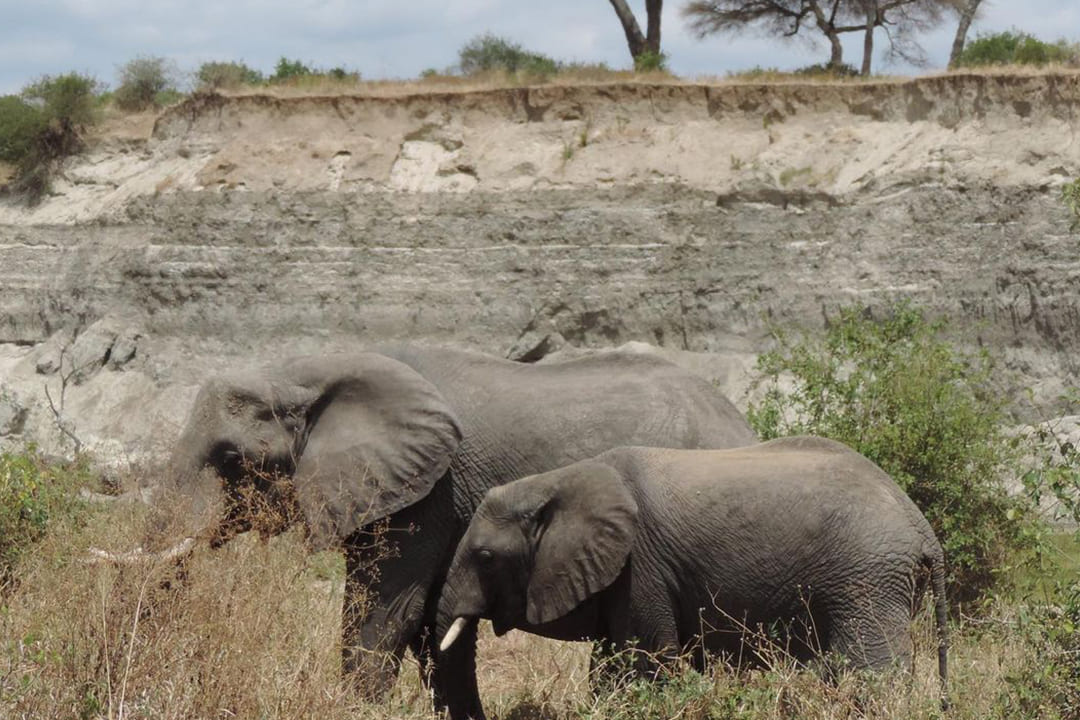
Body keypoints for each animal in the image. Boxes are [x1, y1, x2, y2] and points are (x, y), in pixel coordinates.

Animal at [438, 436, 949, 713]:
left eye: (485, 556)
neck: (557, 480)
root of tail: (922, 527)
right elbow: (609, 665)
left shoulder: (641, 566)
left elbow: (643, 666)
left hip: (867, 579)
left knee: (871, 677)